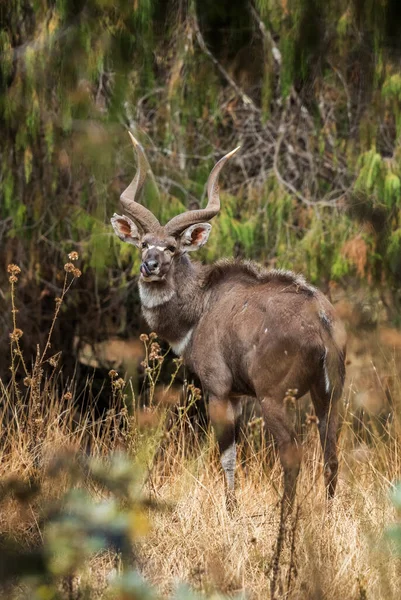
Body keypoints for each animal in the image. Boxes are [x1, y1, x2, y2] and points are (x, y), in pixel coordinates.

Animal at [111, 130, 346, 506]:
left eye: (172, 248)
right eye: (144, 243)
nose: (150, 266)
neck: (201, 306)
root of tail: (322, 323)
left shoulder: (219, 389)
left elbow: (227, 457)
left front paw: (231, 509)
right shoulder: (236, 394)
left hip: (273, 397)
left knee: (292, 453)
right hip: (329, 394)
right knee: (331, 452)